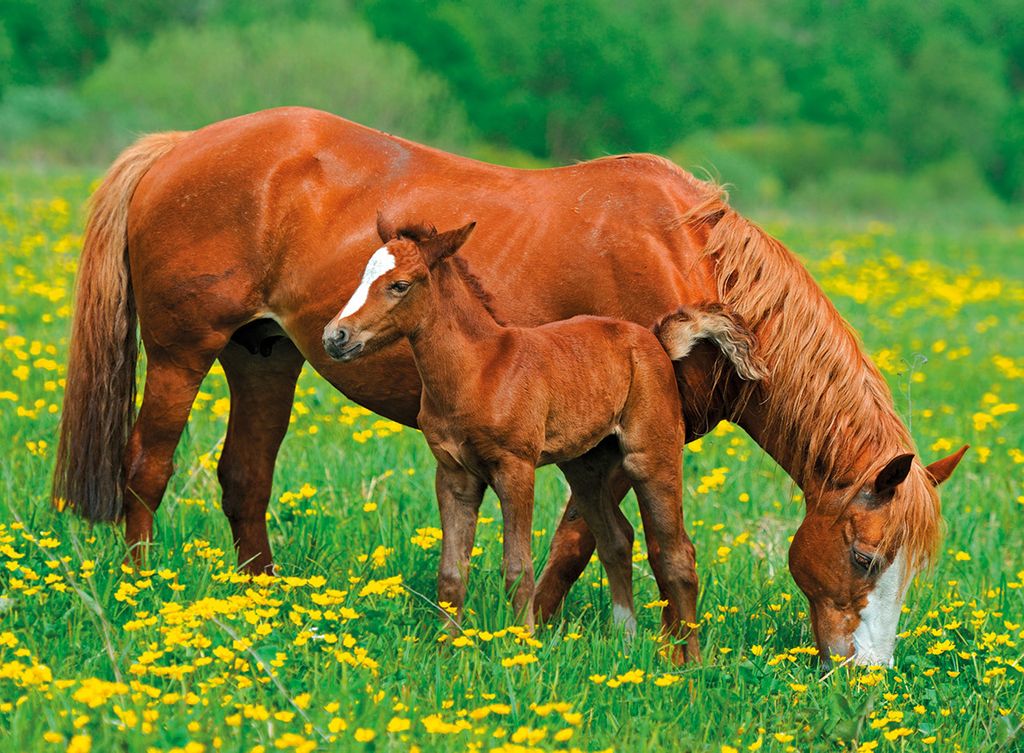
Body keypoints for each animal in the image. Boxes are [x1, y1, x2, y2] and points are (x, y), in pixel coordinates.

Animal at [321, 218, 765, 660]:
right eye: (363, 275)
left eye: (399, 285)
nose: (335, 337)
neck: (479, 370)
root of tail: (656, 341)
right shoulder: (453, 474)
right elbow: (450, 572)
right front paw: (447, 653)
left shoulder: (515, 467)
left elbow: (518, 569)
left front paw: (523, 650)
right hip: (586, 467)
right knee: (616, 540)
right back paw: (626, 642)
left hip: (650, 454)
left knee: (677, 553)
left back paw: (690, 661)